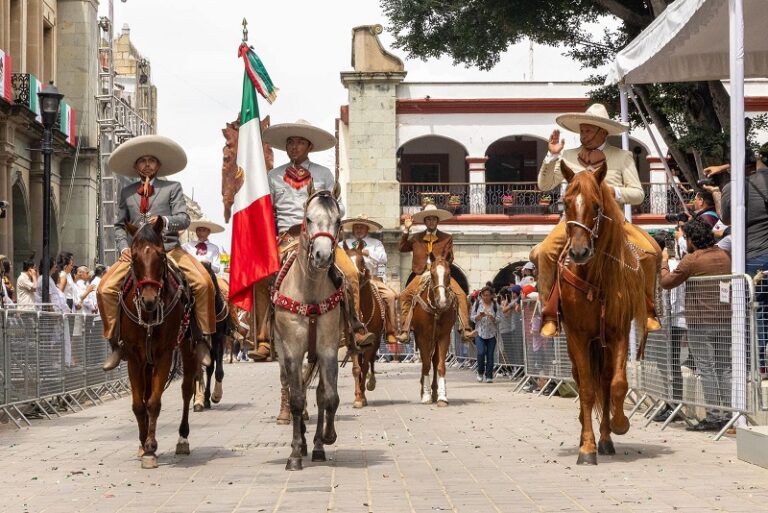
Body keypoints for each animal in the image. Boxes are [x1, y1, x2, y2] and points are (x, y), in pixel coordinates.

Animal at [120, 217, 198, 468]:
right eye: (134, 257)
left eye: (161, 255)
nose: (149, 300)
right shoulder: (134, 357)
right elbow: (139, 404)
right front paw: (143, 444)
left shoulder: (164, 354)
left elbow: (154, 402)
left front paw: (151, 448)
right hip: (147, 361)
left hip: (187, 348)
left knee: (186, 389)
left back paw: (183, 439)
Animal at [268, 188, 344, 468]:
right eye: (308, 219)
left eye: (337, 220)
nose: (322, 256)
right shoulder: (292, 350)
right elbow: (297, 398)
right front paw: (294, 453)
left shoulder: (328, 349)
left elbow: (328, 396)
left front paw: (327, 437)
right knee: (293, 388)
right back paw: (299, 442)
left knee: (319, 393)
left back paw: (318, 446)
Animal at [414, 252, 456, 404]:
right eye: (432, 274)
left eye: (449, 274)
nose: (442, 302)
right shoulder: (422, 337)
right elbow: (425, 364)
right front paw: (425, 395)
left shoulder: (444, 336)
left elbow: (440, 365)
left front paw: (442, 397)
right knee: (426, 361)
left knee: (435, 360)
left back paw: (435, 391)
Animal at [556, 163, 652, 464]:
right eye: (565, 203)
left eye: (596, 206)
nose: (578, 252)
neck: (595, 279)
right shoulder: (577, 336)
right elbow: (587, 390)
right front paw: (587, 448)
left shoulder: (618, 332)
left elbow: (618, 384)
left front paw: (619, 425)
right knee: (582, 379)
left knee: (608, 381)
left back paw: (607, 438)